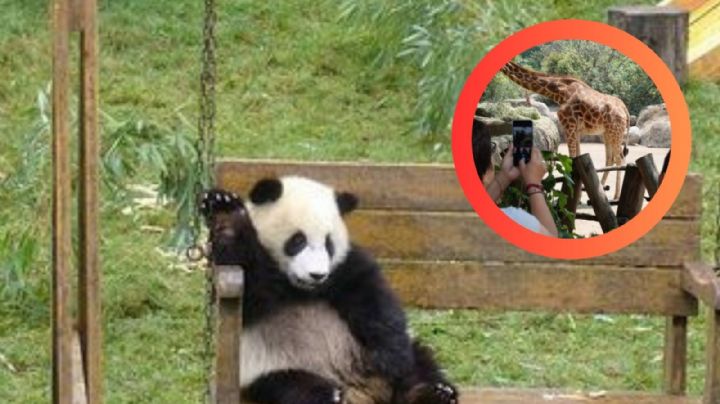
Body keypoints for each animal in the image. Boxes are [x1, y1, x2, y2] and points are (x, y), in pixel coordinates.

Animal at [200, 176, 458, 404]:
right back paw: (330, 395)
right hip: (271, 367)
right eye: (298, 241)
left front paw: (389, 357)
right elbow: (250, 287)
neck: (301, 288)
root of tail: (363, 390)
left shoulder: (343, 268)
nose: (317, 274)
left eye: (329, 244)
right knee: (290, 387)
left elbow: (374, 301)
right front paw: (226, 211)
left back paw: (434, 392)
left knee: (419, 364)